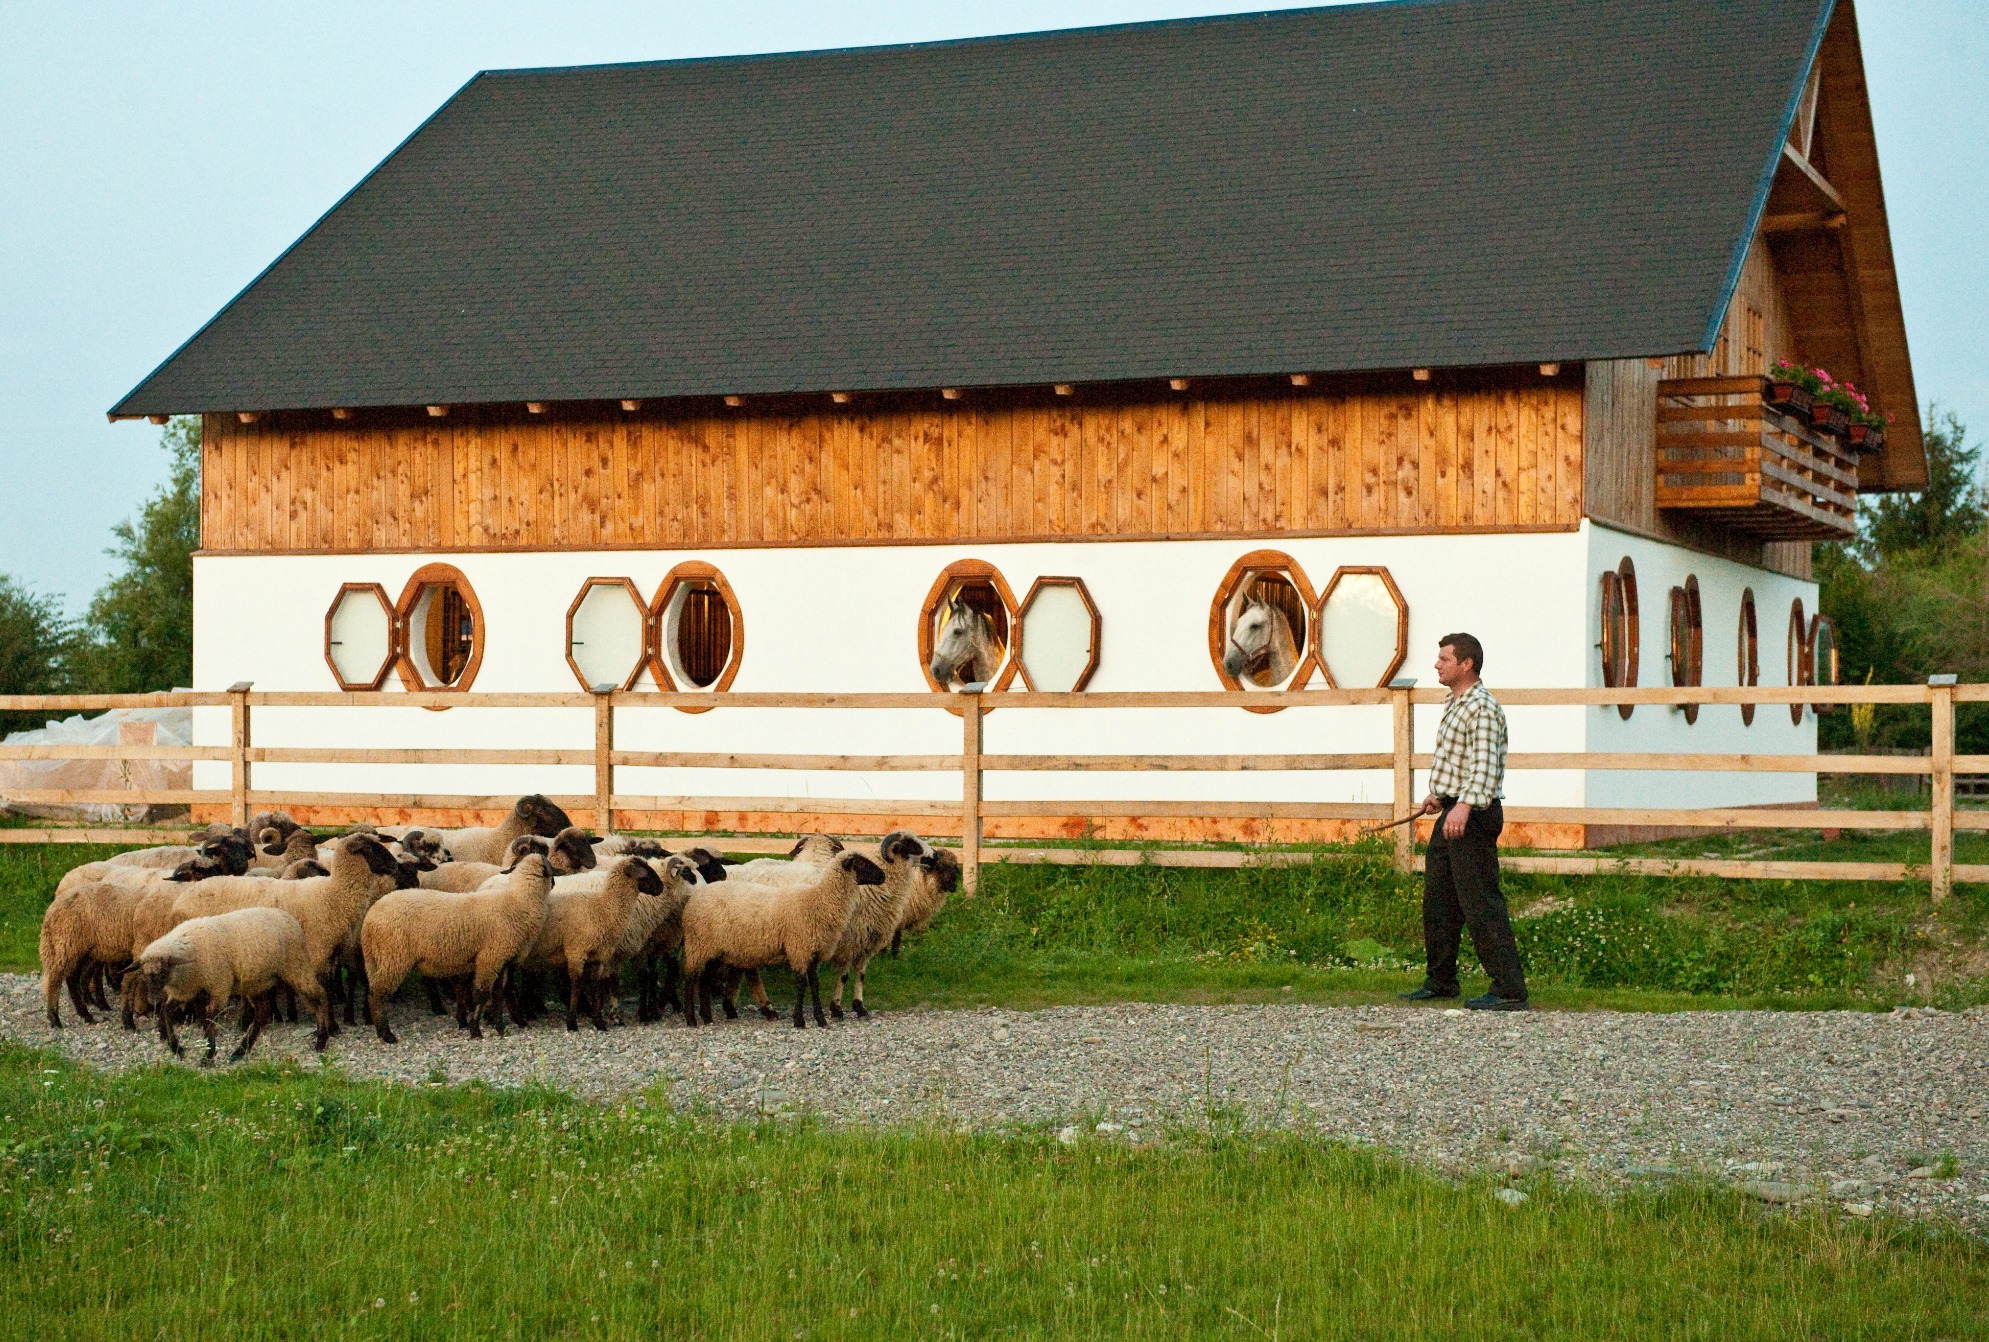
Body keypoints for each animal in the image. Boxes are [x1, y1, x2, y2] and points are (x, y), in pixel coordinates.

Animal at [132, 906, 328, 1065]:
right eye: (145, 974)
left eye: (162, 972)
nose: (152, 998)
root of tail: (289, 917)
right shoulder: (190, 990)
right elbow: (168, 1012)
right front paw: (177, 1048)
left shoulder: (219, 986)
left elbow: (209, 1017)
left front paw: (208, 1055)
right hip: (256, 981)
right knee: (263, 1014)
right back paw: (240, 1051)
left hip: (296, 967)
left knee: (321, 996)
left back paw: (322, 1039)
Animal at [360, 846, 556, 1041]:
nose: (554, 883)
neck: (518, 901)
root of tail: (370, 918)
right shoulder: (489, 957)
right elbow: (482, 994)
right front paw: (475, 1030)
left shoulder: (501, 960)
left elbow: (497, 995)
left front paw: (499, 1027)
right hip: (393, 957)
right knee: (376, 994)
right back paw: (387, 1034)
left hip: (378, 958)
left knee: (372, 991)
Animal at [680, 850, 883, 1025]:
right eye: (861, 863)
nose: (883, 876)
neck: (818, 902)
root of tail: (696, 897)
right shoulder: (799, 949)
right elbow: (801, 984)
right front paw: (799, 1020)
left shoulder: (813, 952)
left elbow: (814, 985)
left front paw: (820, 1019)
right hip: (698, 945)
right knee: (690, 979)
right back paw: (691, 1020)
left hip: (714, 950)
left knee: (704, 980)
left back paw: (707, 1017)